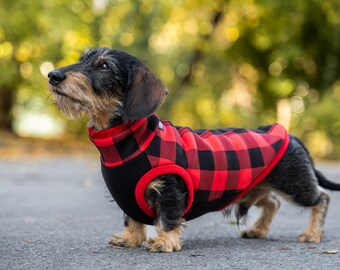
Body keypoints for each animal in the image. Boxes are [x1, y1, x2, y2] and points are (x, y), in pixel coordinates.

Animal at [47, 48, 340, 253]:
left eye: (104, 66)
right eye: (82, 58)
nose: (52, 75)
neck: (130, 141)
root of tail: (286, 133)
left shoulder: (170, 189)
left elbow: (169, 217)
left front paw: (164, 242)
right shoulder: (128, 195)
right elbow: (132, 219)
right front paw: (130, 239)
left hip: (294, 183)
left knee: (321, 199)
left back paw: (312, 234)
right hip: (258, 185)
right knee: (272, 202)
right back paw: (257, 230)